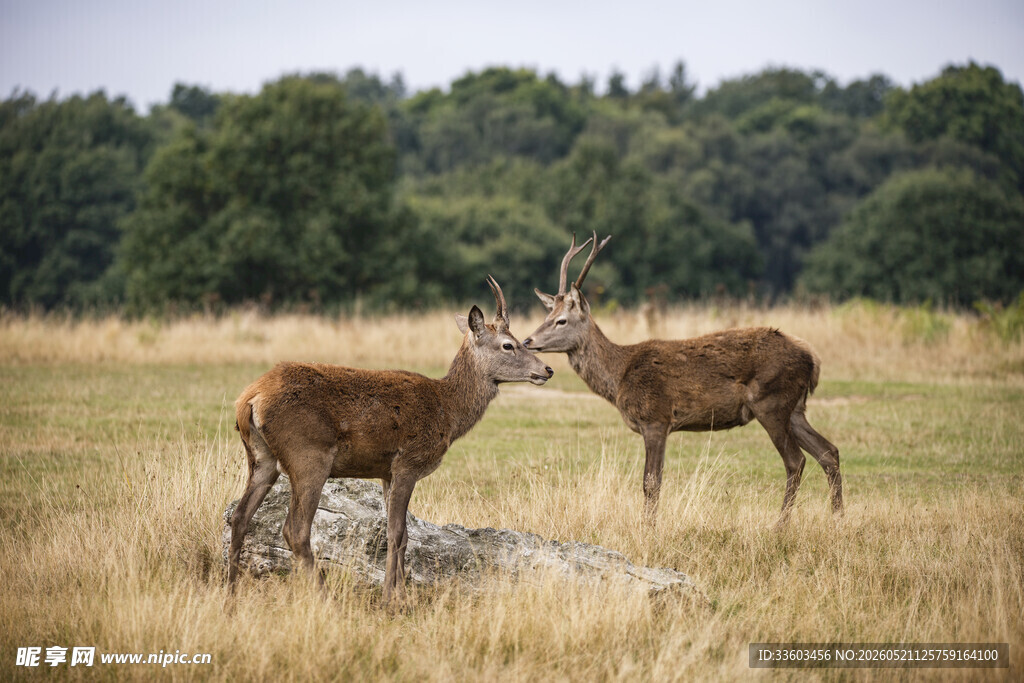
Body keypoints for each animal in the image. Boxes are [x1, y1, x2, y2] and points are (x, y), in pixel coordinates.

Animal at [228, 277, 554, 604]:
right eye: (508, 344)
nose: (547, 369)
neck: (448, 412)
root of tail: (250, 398)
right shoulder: (408, 462)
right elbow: (396, 533)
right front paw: (390, 598)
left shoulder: (385, 472)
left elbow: (402, 534)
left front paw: (400, 592)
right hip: (308, 455)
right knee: (295, 530)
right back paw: (325, 596)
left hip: (262, 457)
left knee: (240, 516)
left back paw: (230, 591)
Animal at [523, 233, 842, 526]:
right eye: (547, 315)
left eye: (561, 320)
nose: (527, 340)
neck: (620, 377)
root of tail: (813, 359)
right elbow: (655, 481)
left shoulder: (655, 418)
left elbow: (650, 483)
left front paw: (649, 529)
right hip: (795, 408)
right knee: (829, 452)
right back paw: (837, 518)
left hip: (771, 402)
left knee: (796, 460)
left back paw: (780, 525)